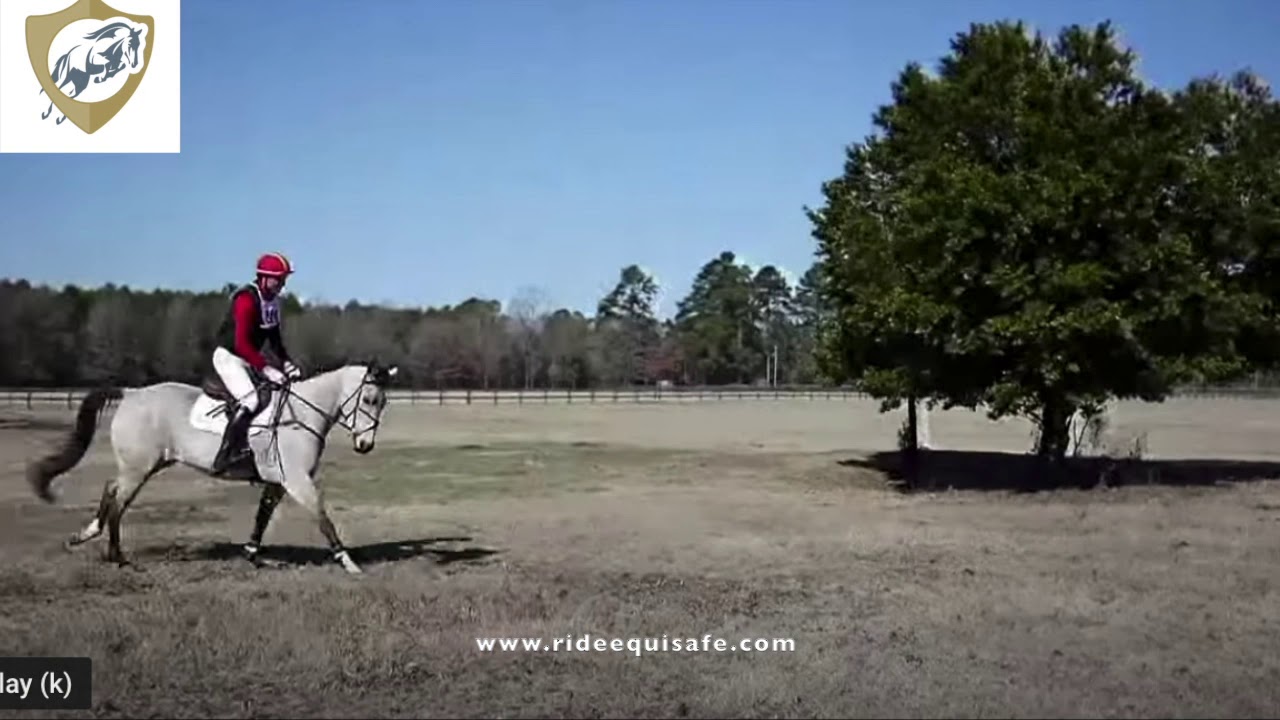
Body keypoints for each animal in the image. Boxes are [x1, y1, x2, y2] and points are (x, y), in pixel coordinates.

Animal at [25, 360, 398, 574]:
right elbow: (323, 518)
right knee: (119, 503)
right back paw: (117, 557)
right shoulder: (297, 480)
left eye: (383, 403)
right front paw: (348, 563)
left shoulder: (278, 481)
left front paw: (253, 555)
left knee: (110, 491)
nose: (365, 446)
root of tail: (131, 394)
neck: (302, 412)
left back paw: (85, 535)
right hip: (139, 468)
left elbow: (262, 516)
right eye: (369, 400)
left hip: (143, 465)